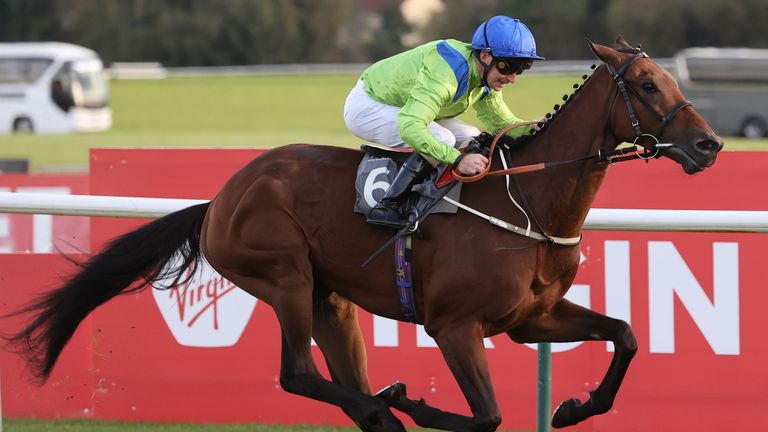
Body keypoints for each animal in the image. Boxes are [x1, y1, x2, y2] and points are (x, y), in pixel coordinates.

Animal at [9, 38, 724, 432]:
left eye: (673, 79)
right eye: (646, 84)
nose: (710, 145)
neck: (530, 204)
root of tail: (221, 198)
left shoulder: (531, 320)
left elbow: (625, 336)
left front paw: (573, 409)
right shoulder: (453, 325)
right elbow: (487, 415)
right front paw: (417, 402)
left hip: (332, 299)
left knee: (339, 375)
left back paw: (379, 410)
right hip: (284, 275)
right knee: (298, 374)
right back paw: (386, 408)